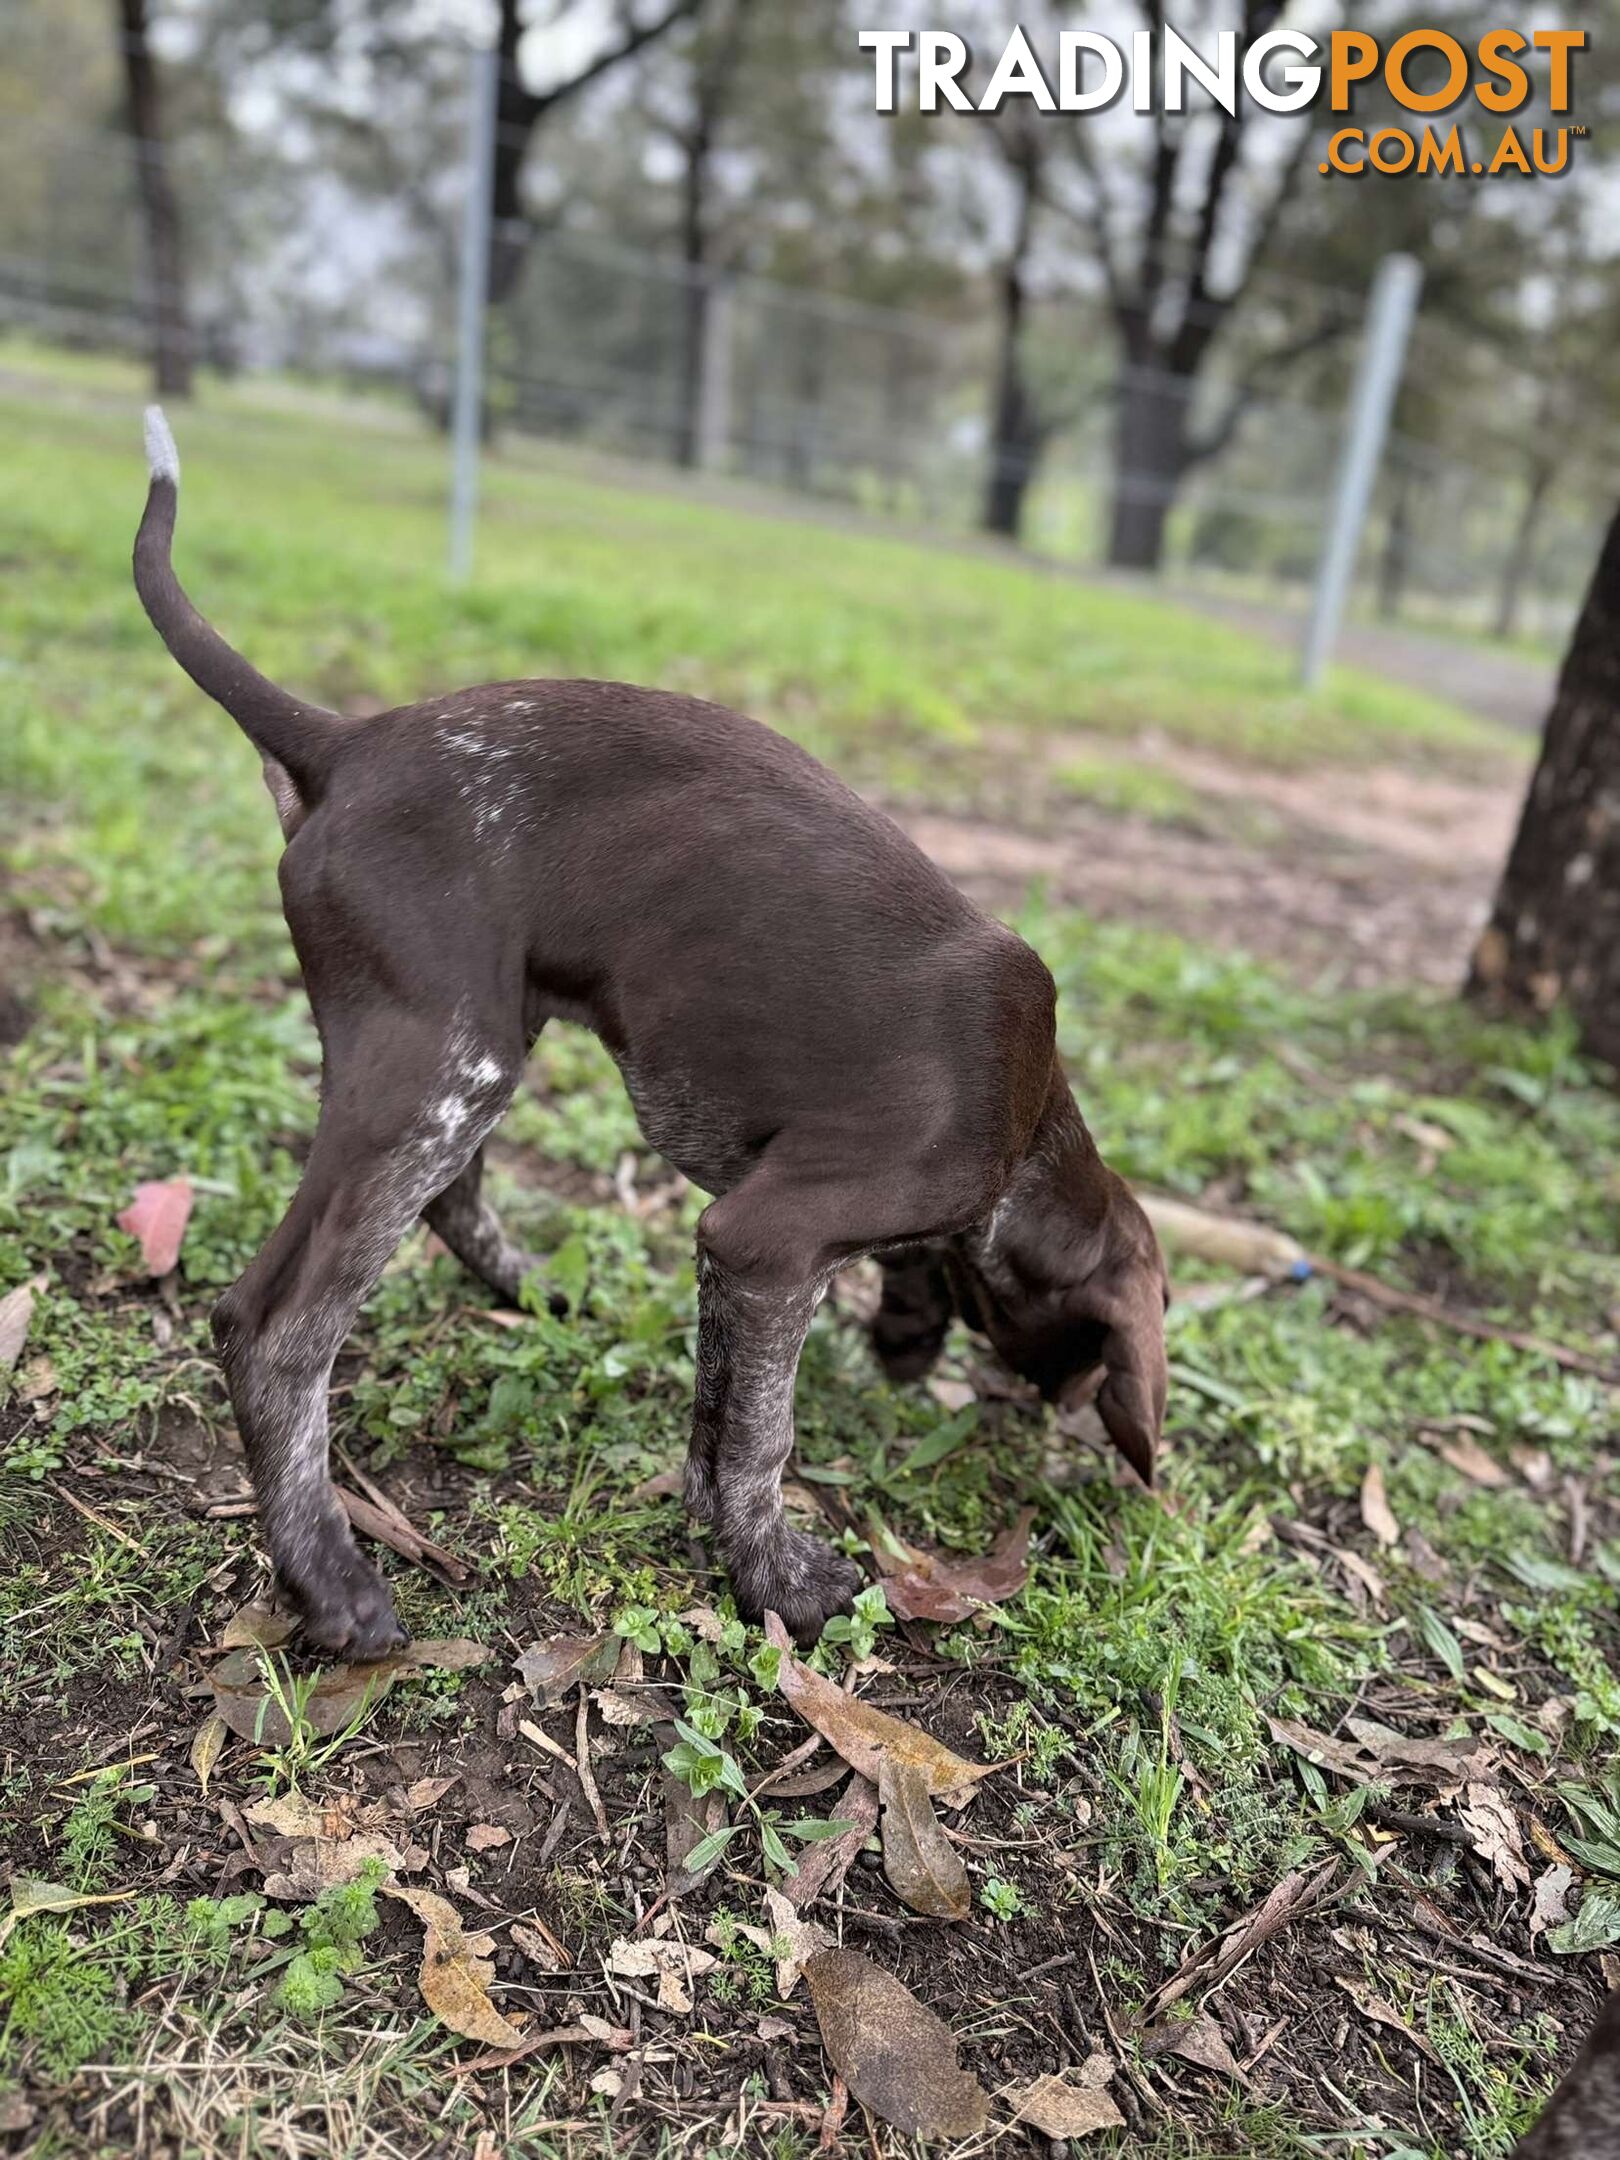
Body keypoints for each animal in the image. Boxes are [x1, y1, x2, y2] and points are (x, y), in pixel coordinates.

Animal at [130, 406, 1166, 1650]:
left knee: (453, 1202)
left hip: (464, 1044)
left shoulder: (740, 1256)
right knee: (273, 1329)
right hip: (448, 1063)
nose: (1048, 1415)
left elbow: (719, 1421)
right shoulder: (772, 1237)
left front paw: (722, 1534)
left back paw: (532, 1291)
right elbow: (763, 1437)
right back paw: (327, 1578)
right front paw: (778, 1579)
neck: (1029, 1129)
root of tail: (351, 741)